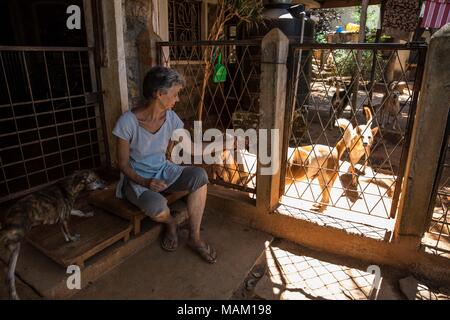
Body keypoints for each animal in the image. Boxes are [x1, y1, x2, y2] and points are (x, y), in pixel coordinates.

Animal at [0, 170, 105, 300]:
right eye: (95, 180)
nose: (105, 182)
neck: (73, 184)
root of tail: (6, 220)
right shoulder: (64, 217)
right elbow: (68, 231)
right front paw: (72, 239)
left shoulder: (65, 214)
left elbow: (79, 213)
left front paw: (87, 214)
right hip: (16, 240)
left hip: (14, 249)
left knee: (9, 274)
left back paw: (13, 293)